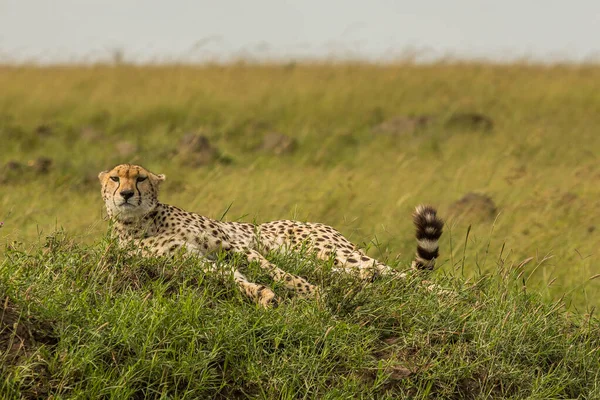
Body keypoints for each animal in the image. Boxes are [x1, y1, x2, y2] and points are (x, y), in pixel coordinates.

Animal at [98, 162, 442, 306]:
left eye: (141, 179)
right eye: (115, 178)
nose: (126, 194)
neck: (141, 224)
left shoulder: (232, 245)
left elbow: (277, 272)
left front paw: (310, 293)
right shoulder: (191, 260)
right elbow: (232, 278)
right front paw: (261, 295)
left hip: (331, 252)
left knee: (394, 274)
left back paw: (447, 297)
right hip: (324, 260)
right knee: (371, 275)